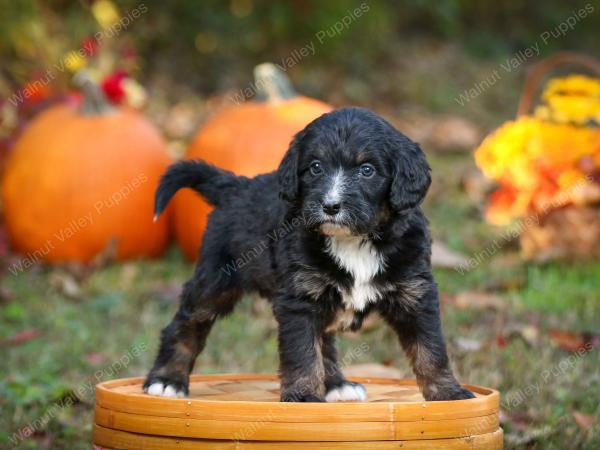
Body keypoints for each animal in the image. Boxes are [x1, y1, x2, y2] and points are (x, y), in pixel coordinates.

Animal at [145, 107, 474, 402]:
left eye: (367, 170)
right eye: (315, 167)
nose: (330, 206)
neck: (354, 241)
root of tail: (239, 186)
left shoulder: (415, 294)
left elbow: (430, 350)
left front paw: (448, 394)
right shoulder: (300, 300)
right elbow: (303, 352)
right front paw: (303, 396)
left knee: (325, 341)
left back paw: (337, 385)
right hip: (216, 281)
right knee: (185, 325)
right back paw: (166, 381)